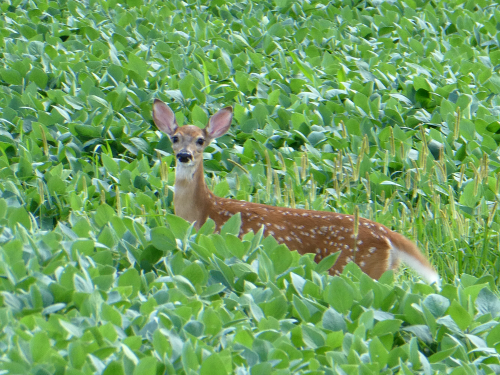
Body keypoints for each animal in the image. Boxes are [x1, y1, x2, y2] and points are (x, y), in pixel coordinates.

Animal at [152, 100, 438, 284]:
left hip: (358, 268)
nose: (185, 155)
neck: (202, 212)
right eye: (175, 137)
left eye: (201, 140)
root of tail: (388, 235)